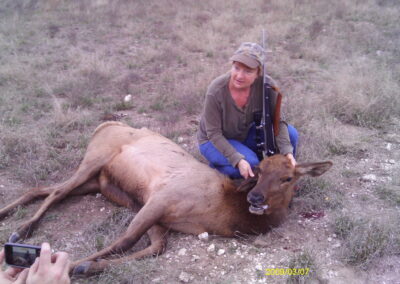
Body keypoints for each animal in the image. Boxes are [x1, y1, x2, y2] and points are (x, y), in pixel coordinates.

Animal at [0, 122, 332, 276]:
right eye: (259, 170)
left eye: (288, 178)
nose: (255, 196)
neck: (223, 213)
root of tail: (103, 125)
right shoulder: (160, 198)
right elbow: (126, 240)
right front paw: (65, 266)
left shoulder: (160, 215)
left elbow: (156, 248)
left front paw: (85, 267)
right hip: (95, 159)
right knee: (57, 192)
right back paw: (21, 231)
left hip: (98, 182)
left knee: (43, 189)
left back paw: (10, 220)